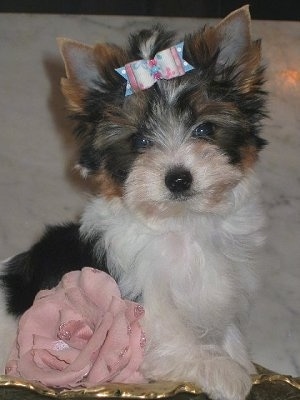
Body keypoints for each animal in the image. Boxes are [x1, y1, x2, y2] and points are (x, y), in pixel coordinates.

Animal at [0, 5, 268, 400]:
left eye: (205, 129)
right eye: (140, 141)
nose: (178, 178)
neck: (182, 223)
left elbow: (226, 326)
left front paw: (239, 358)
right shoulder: (136, 288)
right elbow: (164, 330)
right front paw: (221, 370)